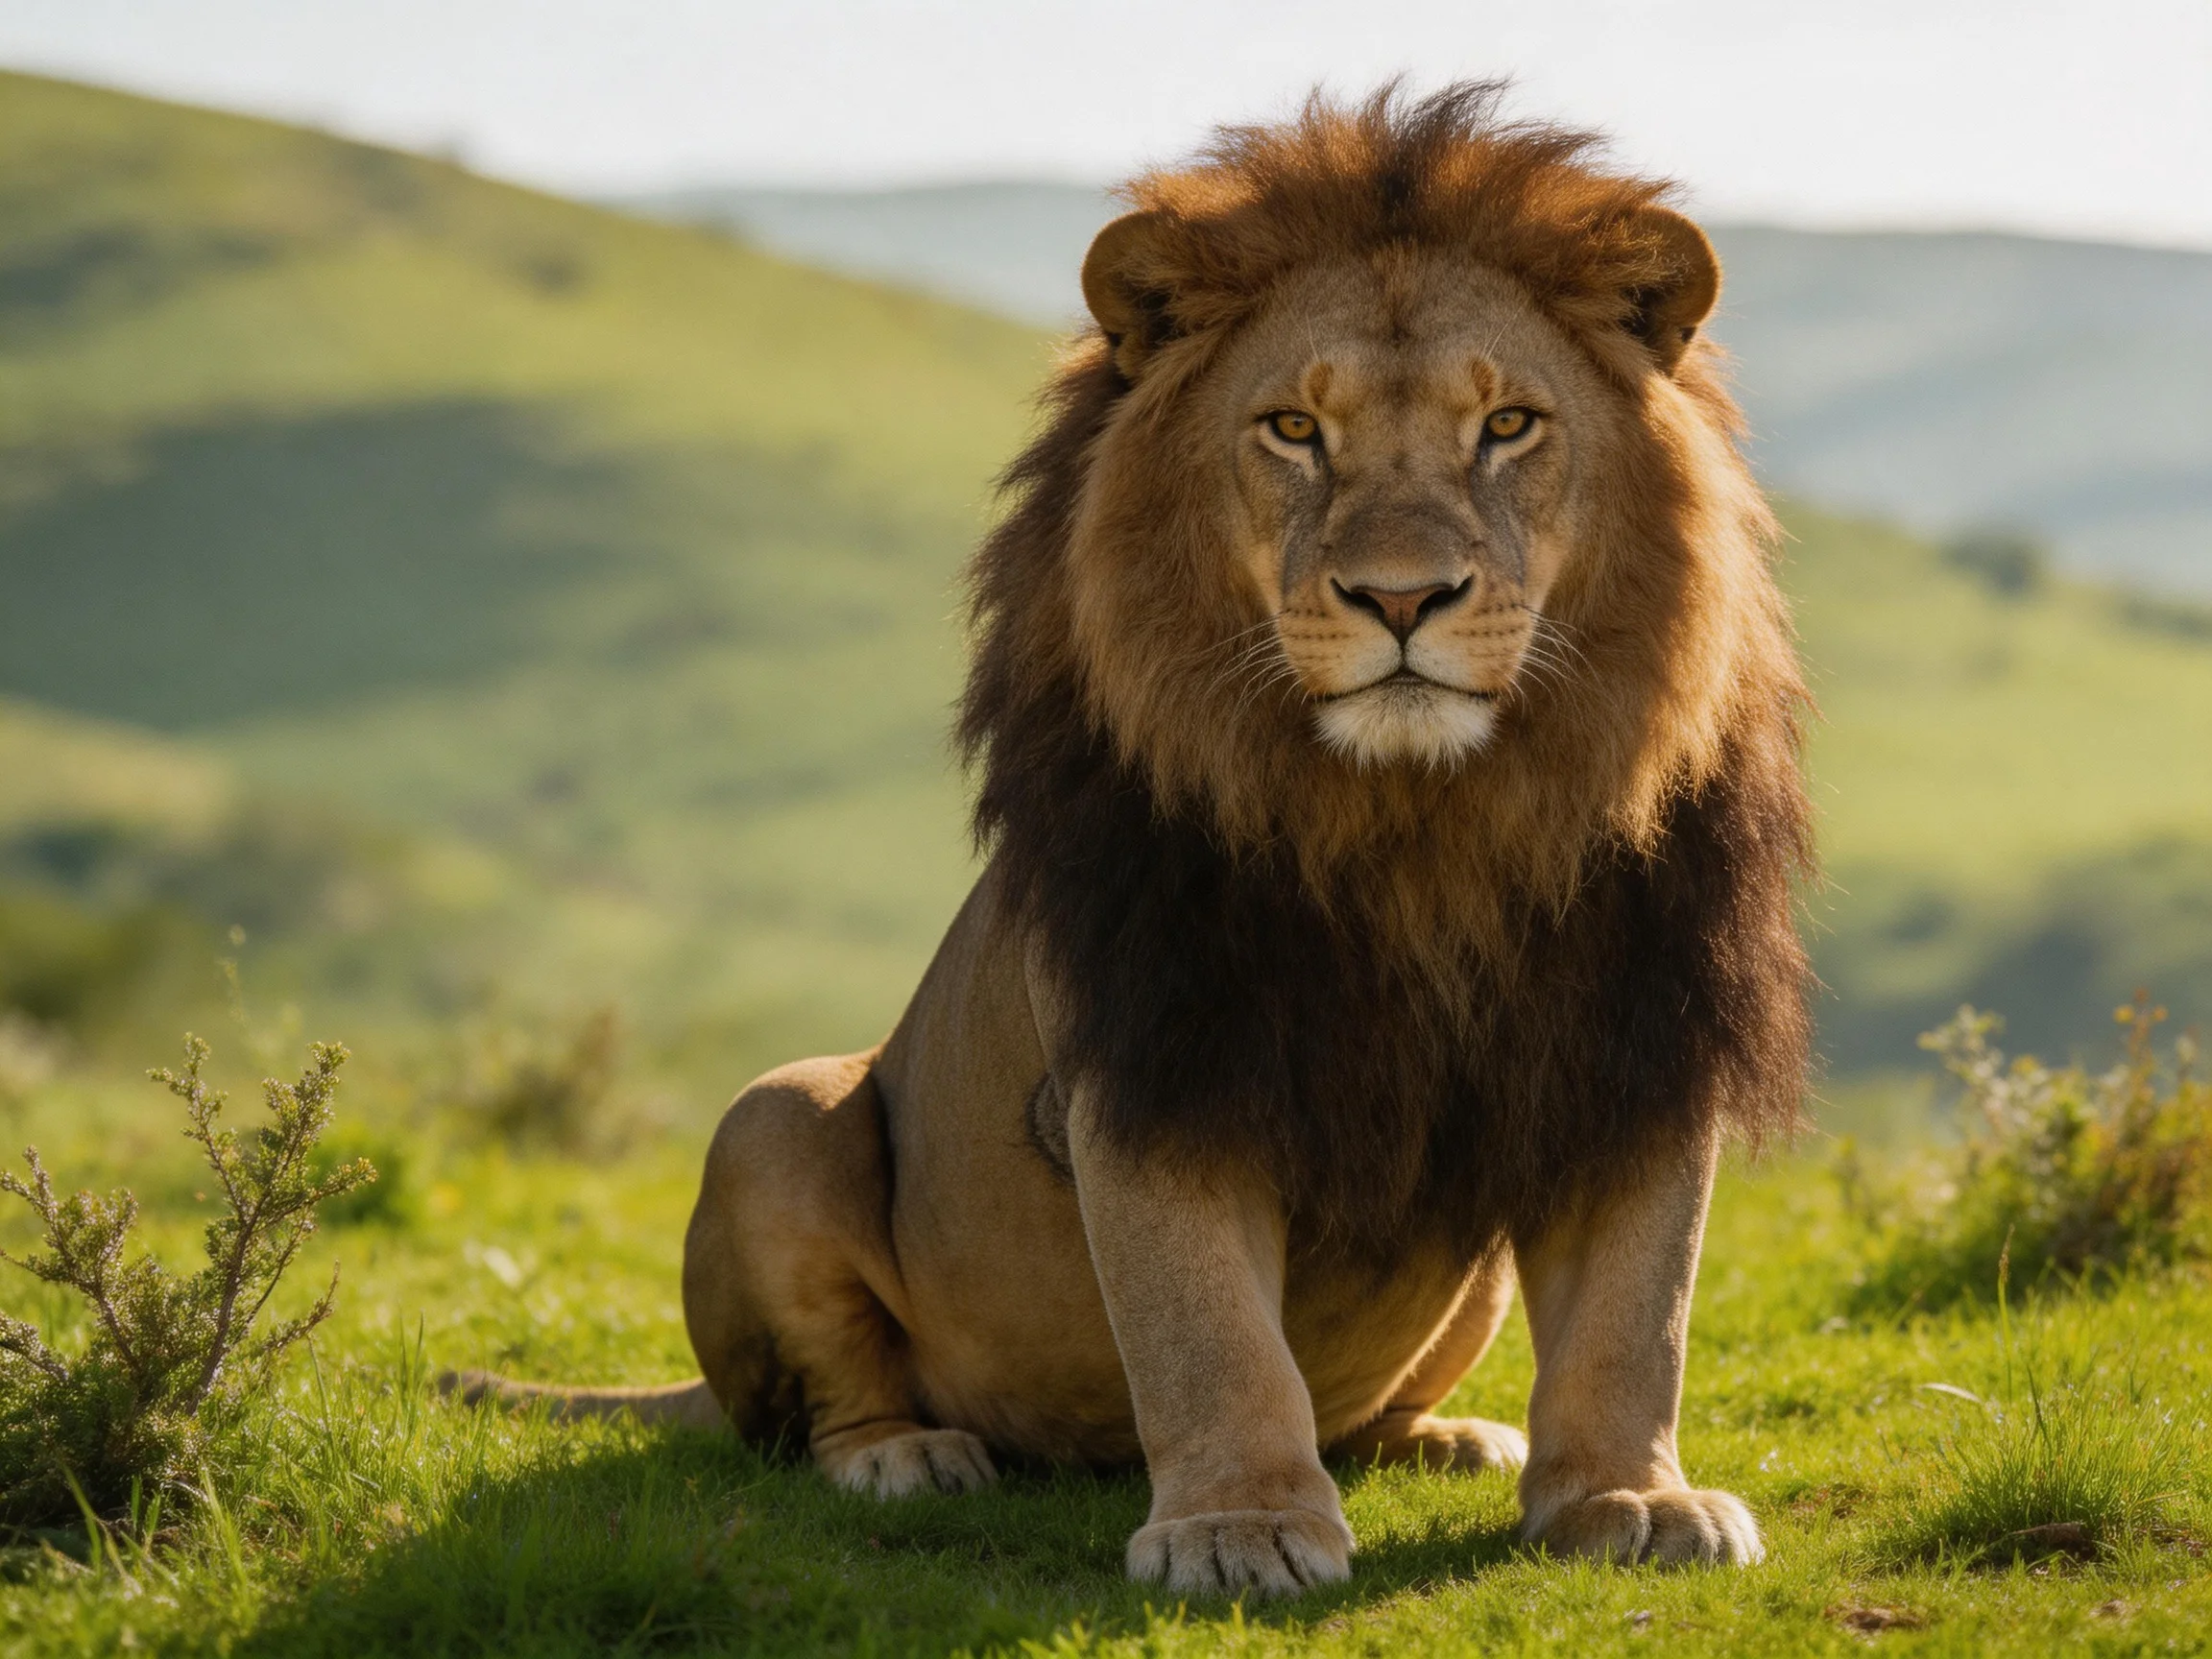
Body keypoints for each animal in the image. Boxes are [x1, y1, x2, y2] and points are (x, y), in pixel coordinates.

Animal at [447, 83, 1814, 1597]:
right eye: (1293, 428)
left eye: (1509, 423)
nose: (1403, 598)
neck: (1421, 824)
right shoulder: (1152, 1047)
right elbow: (1203, 1324)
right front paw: (1241, 1525)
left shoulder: (1645, 1035)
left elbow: (1640, 1308)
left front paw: (1630, 1496)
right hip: (777, 1111)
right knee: (821, 1397)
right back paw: (905, 1456)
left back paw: (1449, 1438)